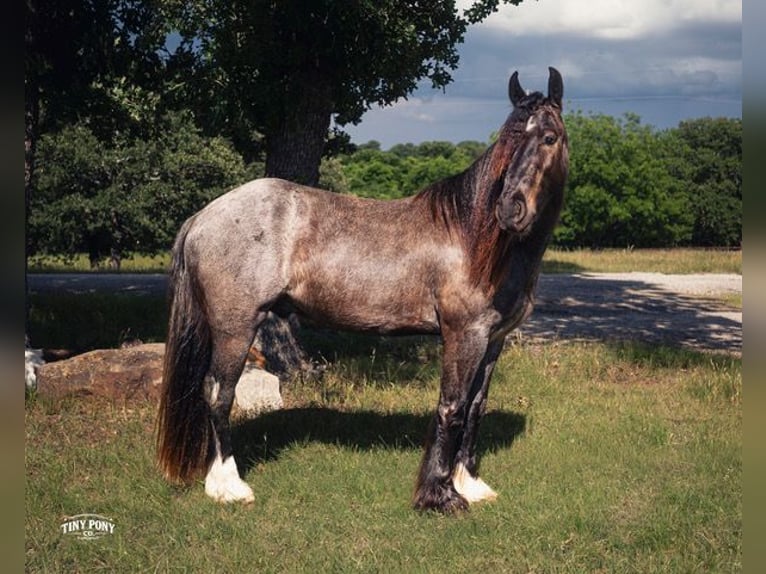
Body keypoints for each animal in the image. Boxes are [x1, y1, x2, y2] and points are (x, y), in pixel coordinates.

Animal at [156, 67, 569, 514]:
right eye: (508, 140)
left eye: (549, 137)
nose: (510, 210)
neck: (476, 237)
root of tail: (203, 216)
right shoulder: (464, 335)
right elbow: (452, 407)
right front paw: (440, 495)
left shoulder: (493, 340)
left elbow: (476, 407)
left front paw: (470, 484)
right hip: (235, 327)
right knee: (219, 394)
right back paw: (229, 486)